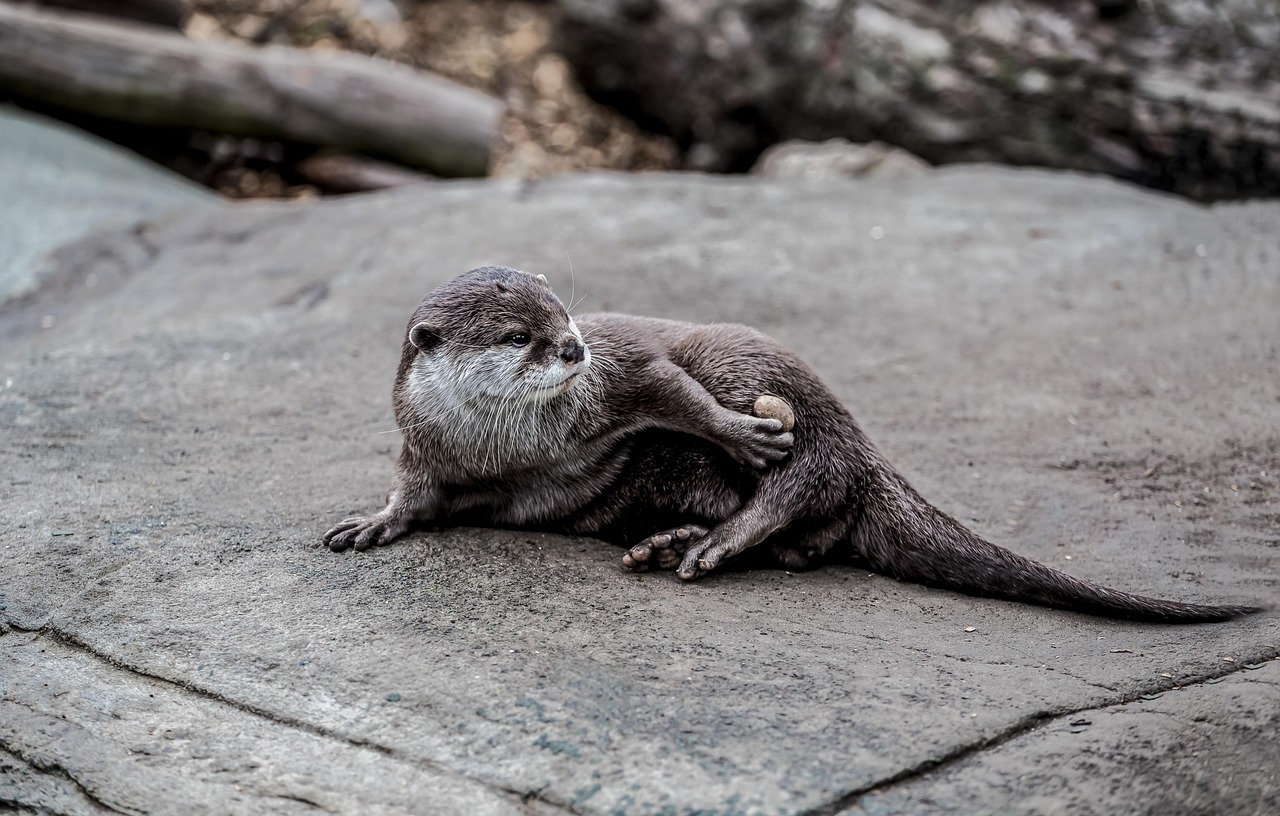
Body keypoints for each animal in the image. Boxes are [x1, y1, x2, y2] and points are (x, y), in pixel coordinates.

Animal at [325, 266, 1261, 622]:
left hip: (758, 368)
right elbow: (413, 494)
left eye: (568, 318)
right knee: (811, 542)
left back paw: (718, 534)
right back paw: (677, 540)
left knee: (813, 475)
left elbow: (666, 382)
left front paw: (738, 430)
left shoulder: (622, 375)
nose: (572, 350)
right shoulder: (426, 447)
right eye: (520, 335)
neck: (505, 446)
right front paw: (373, 522)